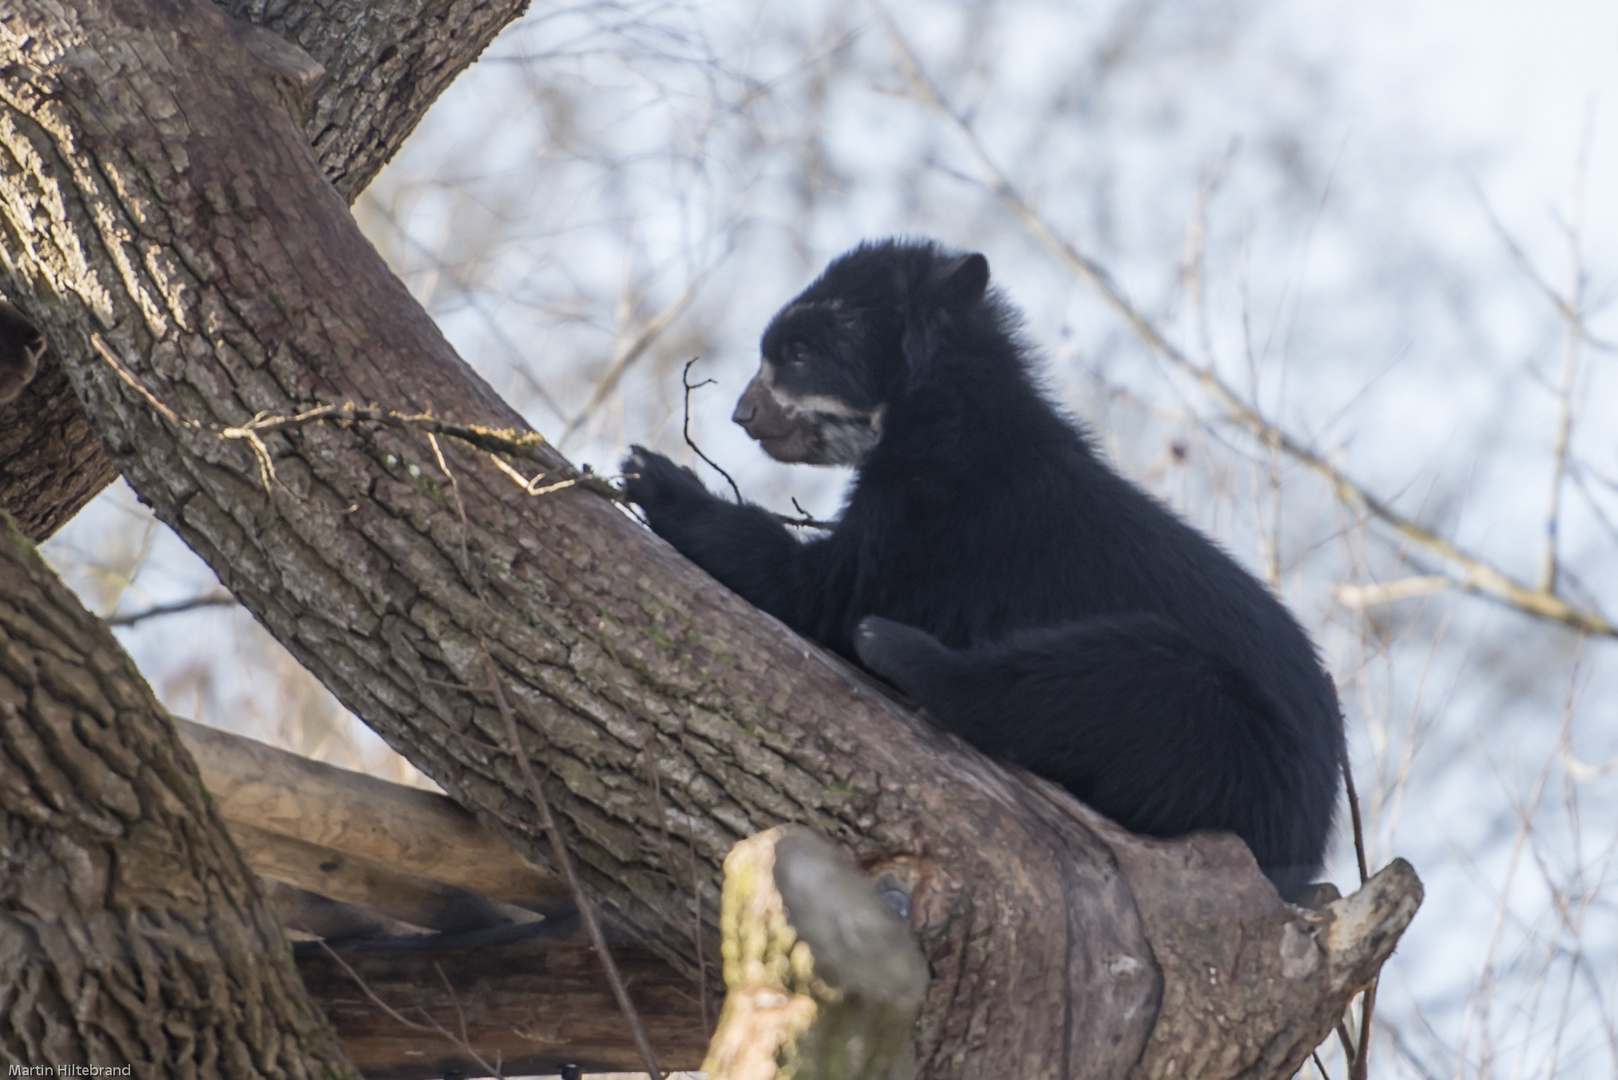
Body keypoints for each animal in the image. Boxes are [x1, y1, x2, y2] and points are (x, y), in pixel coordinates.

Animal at [624, 238, 1346, 906]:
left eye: (799, 353)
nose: (742, 415)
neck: (937, 414)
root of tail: (1311, 842)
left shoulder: (942, 518)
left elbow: (827, 589)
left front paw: (653, 478)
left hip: (1225, 735)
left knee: (1095, 681)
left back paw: (898, 650)